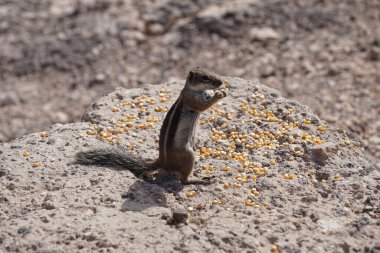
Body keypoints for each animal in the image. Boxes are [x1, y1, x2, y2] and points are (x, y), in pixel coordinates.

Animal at [75, 67, 227, 184]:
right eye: (205, 77)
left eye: (212, 71)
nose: (221, 82)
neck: (195, 90)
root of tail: (163, 162)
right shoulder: (190, 100)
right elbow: (202, 106)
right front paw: (218, 95)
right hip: (188, 155)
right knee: (184, 180)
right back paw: (200, 179)